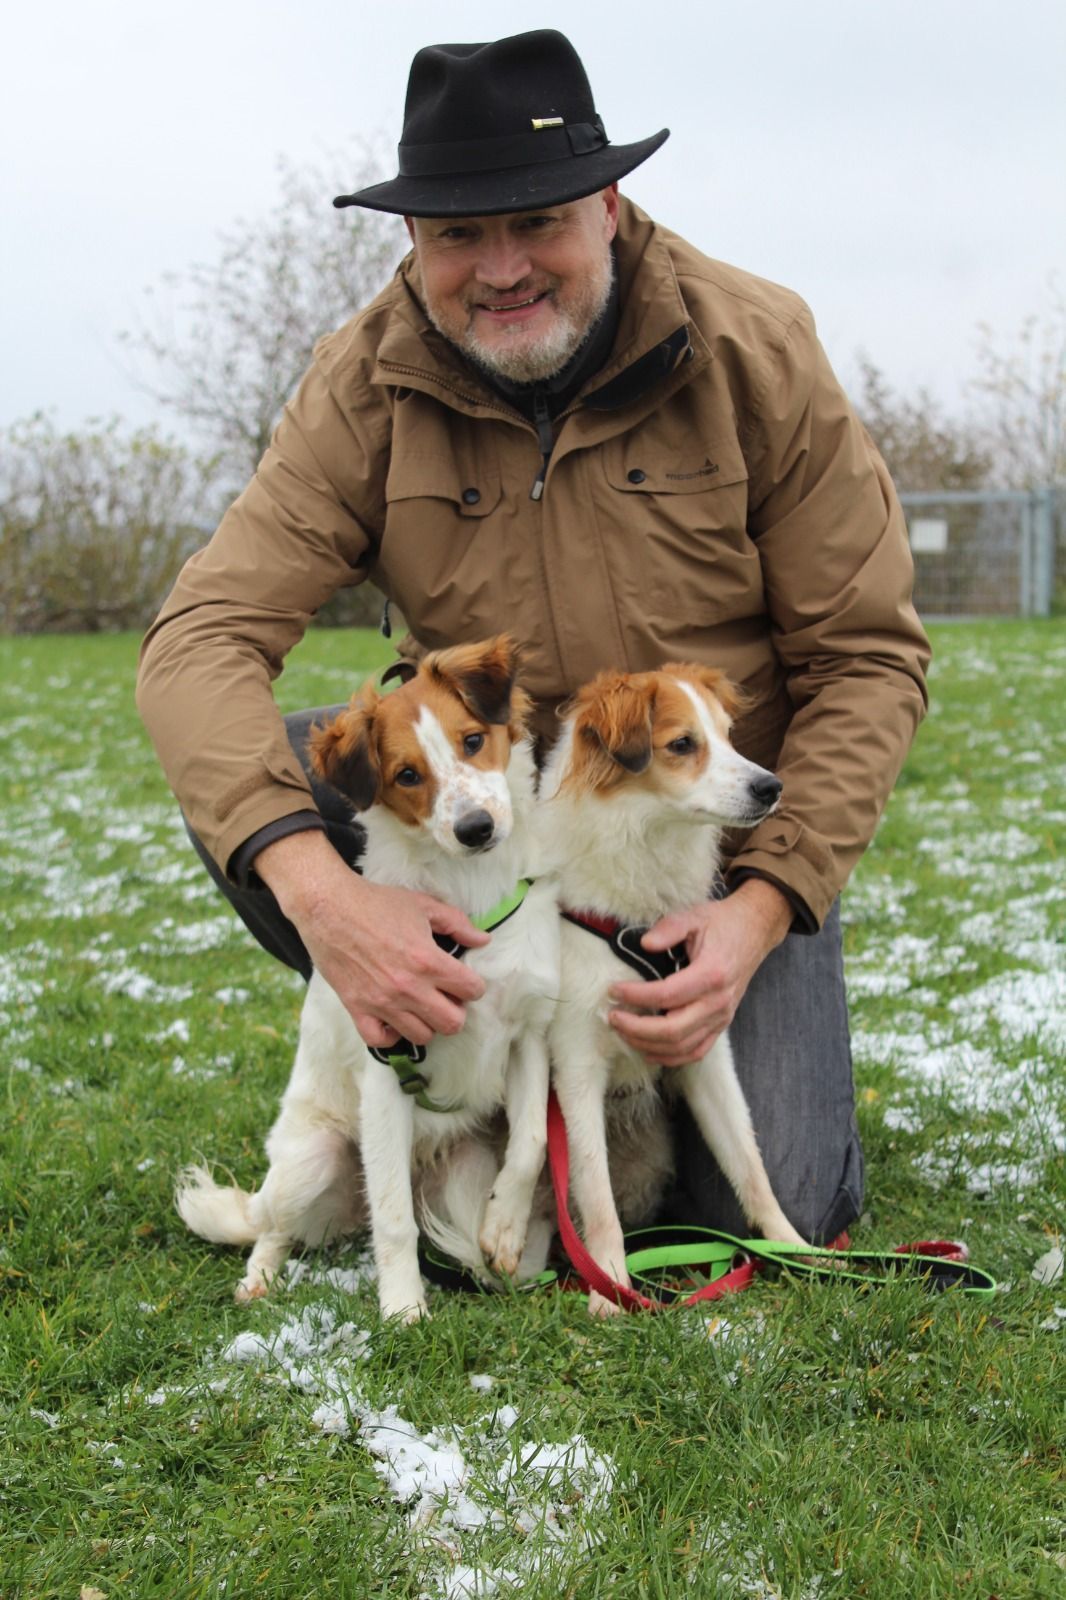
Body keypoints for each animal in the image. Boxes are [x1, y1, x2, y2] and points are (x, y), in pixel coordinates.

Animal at [175, 637, 559, 1322]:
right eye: (407, 775)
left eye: (472, 740)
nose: (476, 829)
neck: (470, 904)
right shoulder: (386, 1072)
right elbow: (394, 1220)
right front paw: (404, 1312)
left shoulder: (528, 1035)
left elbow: (532, 1142)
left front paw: (506, 1231)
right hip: (315, 1158)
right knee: (275, 1225)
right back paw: (259, 1279)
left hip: (461, 1170)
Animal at [540, 663, 807, 1315]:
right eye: (683, 744)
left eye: (729, 735)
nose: (772, 787)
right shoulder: (576, 1065)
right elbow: (594, 1191)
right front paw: (610, 1287)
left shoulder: (702, 1045)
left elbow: (749, 1161)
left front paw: (797, 1252)